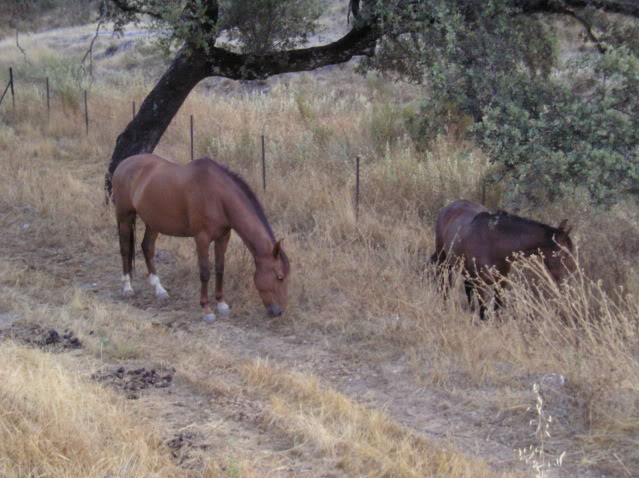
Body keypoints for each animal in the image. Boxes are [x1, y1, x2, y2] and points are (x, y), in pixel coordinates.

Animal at [111, 155, 292, 324]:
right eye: (279, 277)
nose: (279, 312)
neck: (218, 197)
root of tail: (123, 163)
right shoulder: (202, 238)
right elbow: (205, 272)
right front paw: (206, 310)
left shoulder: (223, 237)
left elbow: (220, 269)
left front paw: (221, 304)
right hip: (125, 216)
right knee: (125, 249)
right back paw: (127, 288)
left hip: (153, 221)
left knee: (147, 248)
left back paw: (159, 290)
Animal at [430, 200, 576, 320]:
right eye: (565, 253)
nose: (568, 280)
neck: (496, 244)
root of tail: (448, 207)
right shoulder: (481, 284)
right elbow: (483, 313)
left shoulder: (501, 283)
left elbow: (497, 311)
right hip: (444, 261)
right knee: (444, 284)